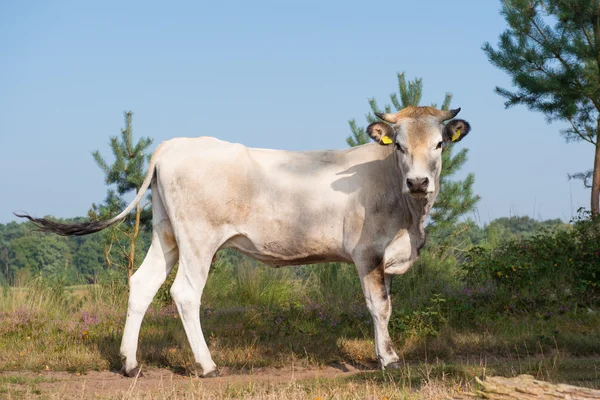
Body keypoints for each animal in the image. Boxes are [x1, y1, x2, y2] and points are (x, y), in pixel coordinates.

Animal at [16, 104, 472, 376]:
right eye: (399, 146)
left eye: (438, 143)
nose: (418, 181)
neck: (409, 214)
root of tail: (174, 144)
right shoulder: (368, 253)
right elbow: (379, 307)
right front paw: (389, 360)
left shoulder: (387, 257)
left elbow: (387, 308)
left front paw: (385, 354)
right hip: (198, 239)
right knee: (184, 293)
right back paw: (207, 365)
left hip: (166, 233)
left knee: (142, 284)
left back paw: (130, 364)